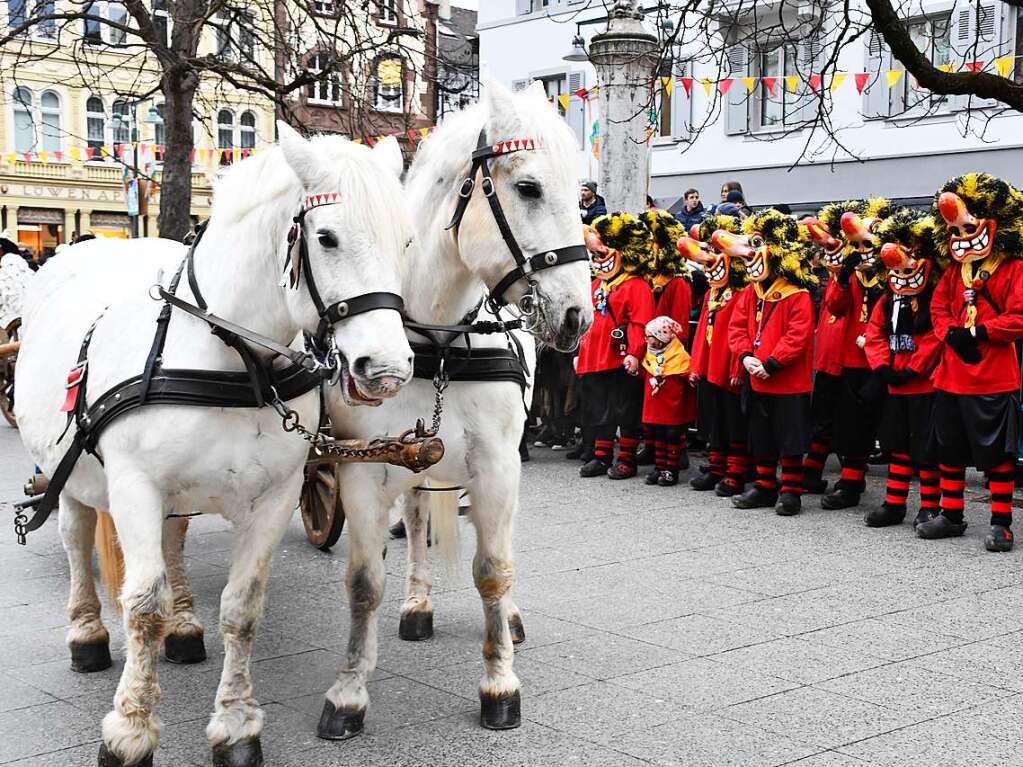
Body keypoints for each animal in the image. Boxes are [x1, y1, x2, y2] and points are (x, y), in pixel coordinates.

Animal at [14, 126, 413, 767]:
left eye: (406, 241)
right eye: (326, 237)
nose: (388, 369)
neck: (231, 357)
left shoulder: (275, 496)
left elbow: (242, 608)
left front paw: (236, 724)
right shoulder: (133, 486)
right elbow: (140, 604)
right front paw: (129, 728)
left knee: (173, 541)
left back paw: (182, 626)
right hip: (68, 471)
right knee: (77, 539)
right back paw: (87, 633)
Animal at [317, 81, 593, 740]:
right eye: (528, 187)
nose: (579, 315)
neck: (437, 342)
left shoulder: (496, 464)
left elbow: (493, 568)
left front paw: (500, 683)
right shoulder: (363, 466)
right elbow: (363, 581)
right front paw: (349, 691)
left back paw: (509, 617)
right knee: (418, 520)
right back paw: (418, 602)